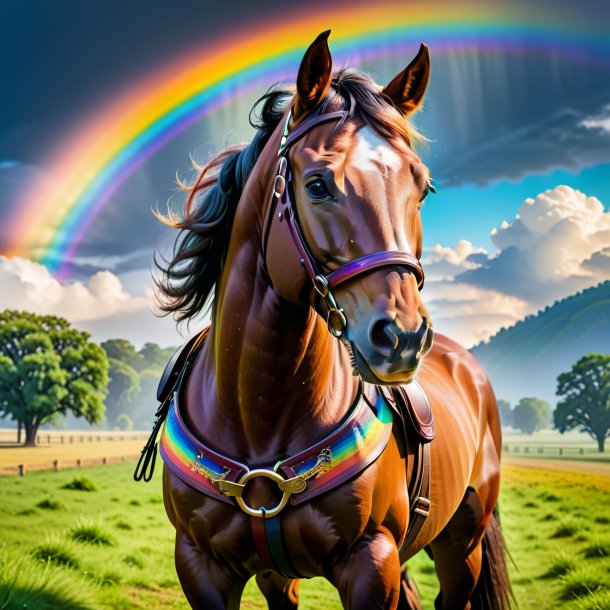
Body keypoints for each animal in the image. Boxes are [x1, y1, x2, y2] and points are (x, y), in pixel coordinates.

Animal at [138, 30, 508, 608]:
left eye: (422, 187)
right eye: (316, 184)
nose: (402, 337)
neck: (258, 417)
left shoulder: (371, 562)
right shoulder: (206, 566)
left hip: (461, 544)